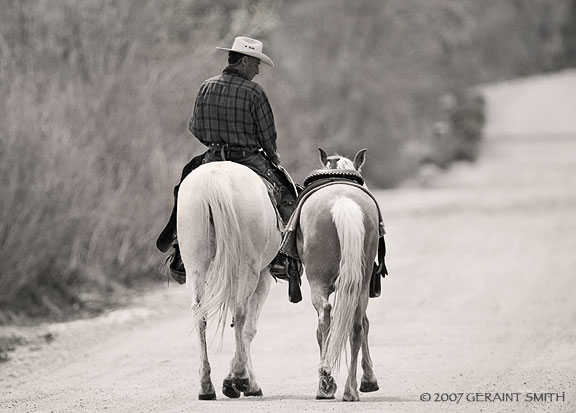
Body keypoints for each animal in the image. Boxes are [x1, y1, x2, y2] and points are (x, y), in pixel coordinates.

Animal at [177, 159, 282, 398]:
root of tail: (214, 178)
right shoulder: (263, 277)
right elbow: (249, 329)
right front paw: (244, 382)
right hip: (248, 267)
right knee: (240, 312)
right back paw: (241, 377)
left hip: (195, 263)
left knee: (200, 314)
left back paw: (206, 385)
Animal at [296, 147, 382, 400]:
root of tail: (343, 201)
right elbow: (364, 323)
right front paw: (368, 380)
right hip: (361, 281)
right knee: (356, 324)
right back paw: (350, 389)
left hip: (317, 279)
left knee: (325, 318)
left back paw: (326, 381)